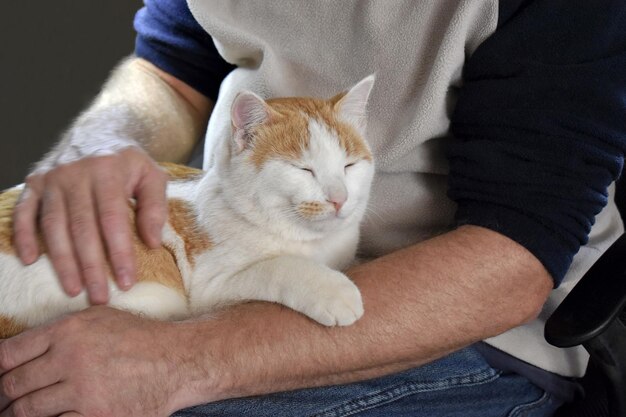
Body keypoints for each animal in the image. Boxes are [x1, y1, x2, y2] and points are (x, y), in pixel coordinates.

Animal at [0, 75, 372, 336]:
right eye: (303, 169)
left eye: (349, 166)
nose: (339, 197)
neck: (315, 242)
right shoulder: (210, 287)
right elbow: (281, 266)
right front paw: (334, 290)